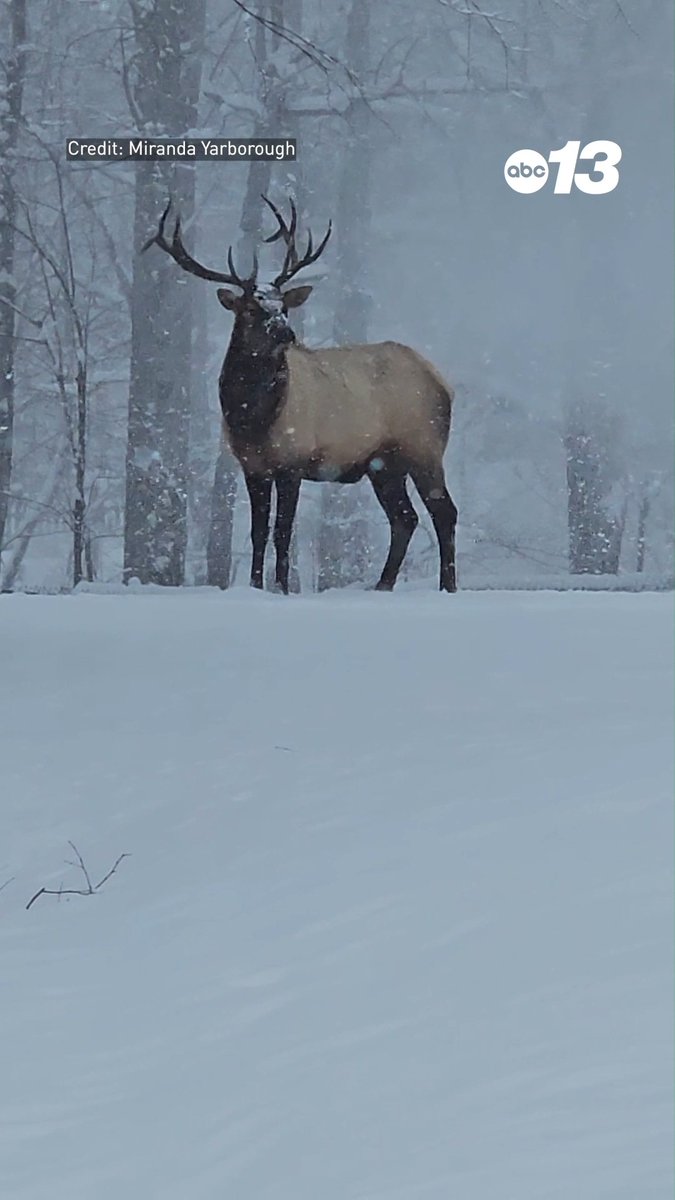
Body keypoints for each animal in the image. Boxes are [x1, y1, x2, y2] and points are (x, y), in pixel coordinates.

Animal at [143, 197, 458, 594]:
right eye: (252, 308)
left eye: (283, 306)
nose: (286, 332)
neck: (253, 418)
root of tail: (443, 383)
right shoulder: (252, 466)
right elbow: (258, 532)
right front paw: (255, 585)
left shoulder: (292, 462)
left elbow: (282, 531)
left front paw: (282, 587)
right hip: (384, 464)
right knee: (405, 517)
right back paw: (383, 584)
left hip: (423, 447)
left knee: (444, 511)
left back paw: (447, 586)